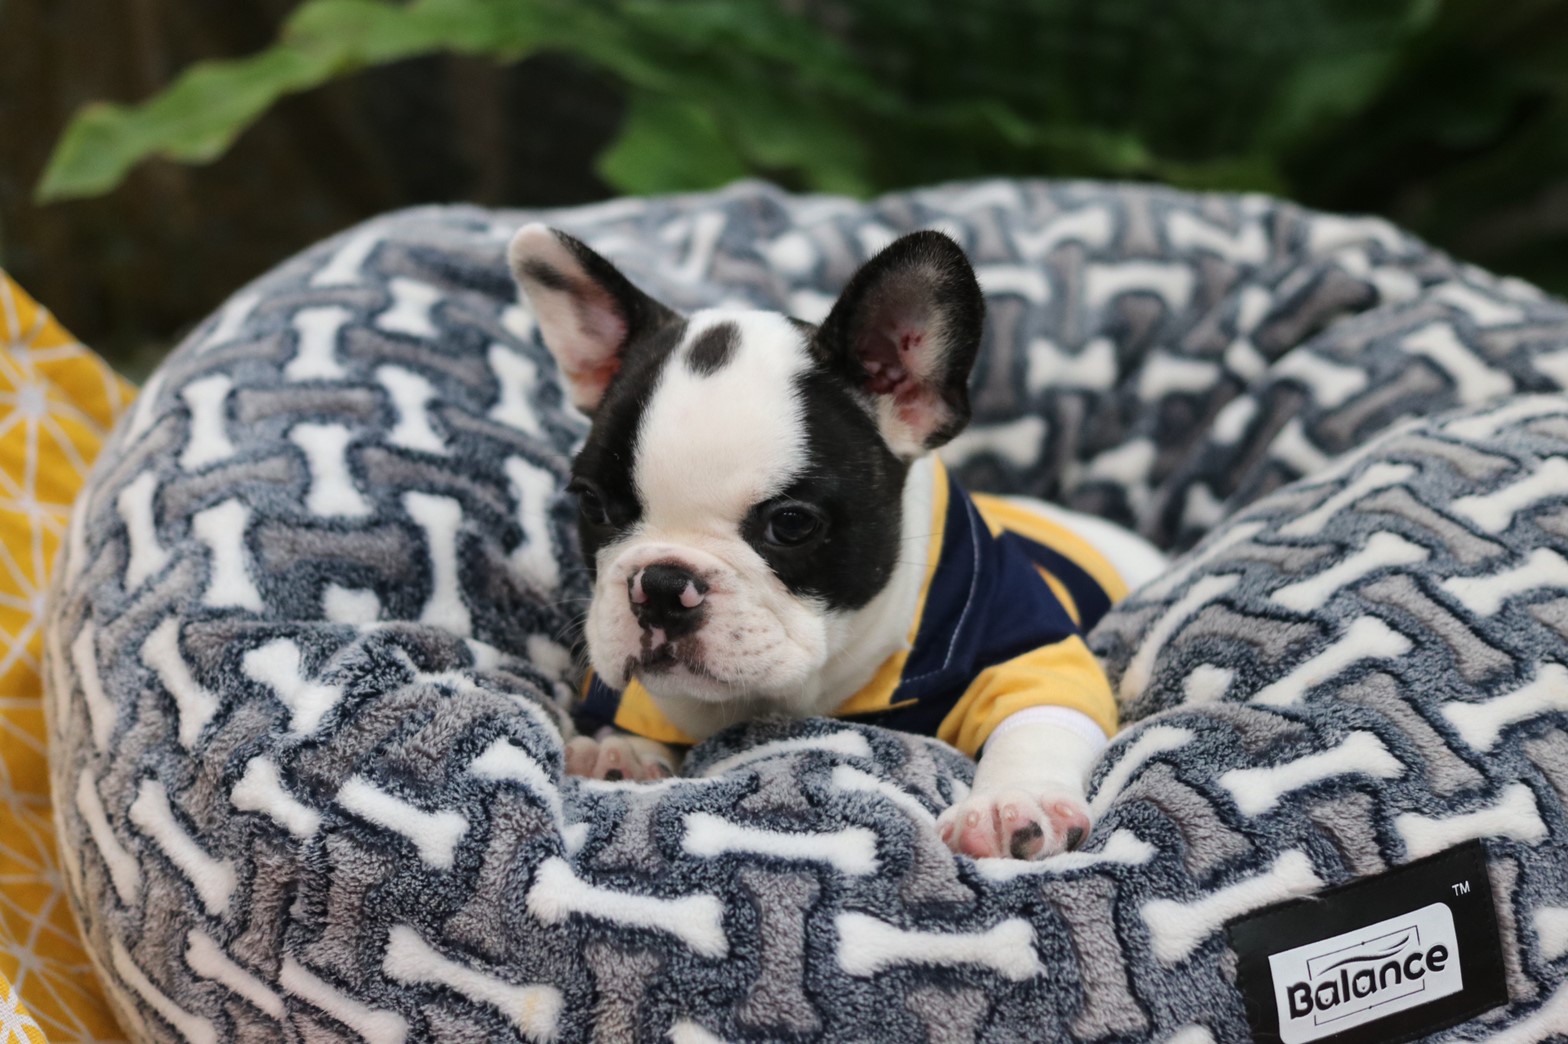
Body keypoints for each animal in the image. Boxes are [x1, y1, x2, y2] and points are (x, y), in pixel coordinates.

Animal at [508, 224, 1165, 859]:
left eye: (792, 524)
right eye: (592, 504)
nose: (663, 586)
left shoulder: (1032, 647)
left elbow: (1037, 721)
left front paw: (1011, 803)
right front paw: (621, 746)